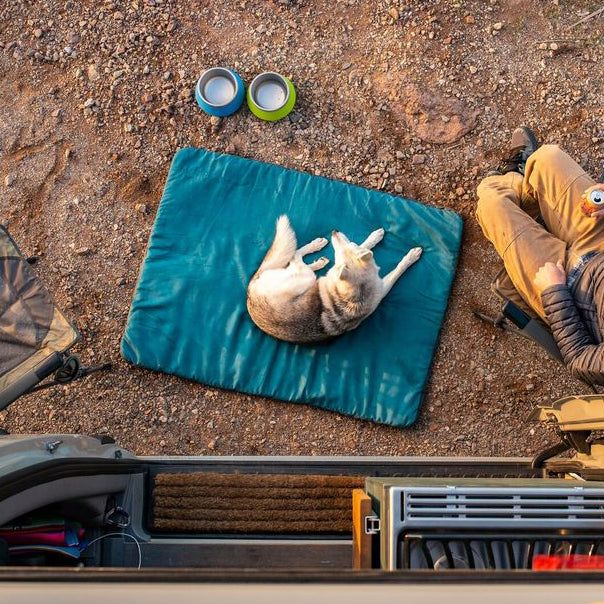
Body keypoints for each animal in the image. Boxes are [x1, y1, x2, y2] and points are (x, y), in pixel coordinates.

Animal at [245, 215, 420, 342]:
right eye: (338, 251)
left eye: (350, 243)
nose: (334, 231)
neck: (359, 287)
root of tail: (250, 294)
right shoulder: (382, 287)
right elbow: (396, 267)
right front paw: (409, 256)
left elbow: (367, 248)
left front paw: (375, 238)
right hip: (305, 278)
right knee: (295, 257)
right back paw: (316, 247)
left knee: (295, 261)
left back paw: (318, 259)